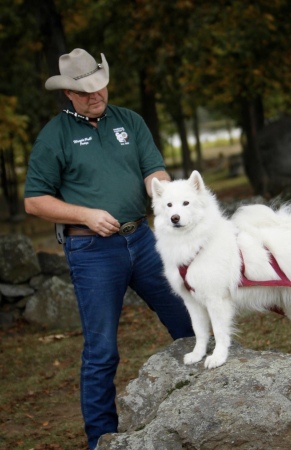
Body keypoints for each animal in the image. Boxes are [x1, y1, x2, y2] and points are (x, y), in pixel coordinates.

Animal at [152, 171, 291, 368]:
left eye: (186, 203)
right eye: (169, 205)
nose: (175, 218)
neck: (197, 244)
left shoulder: (216, 300)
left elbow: (218, 332)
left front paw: (218, 357)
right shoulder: (192, 302)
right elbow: (200, 331)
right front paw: (197, 354)